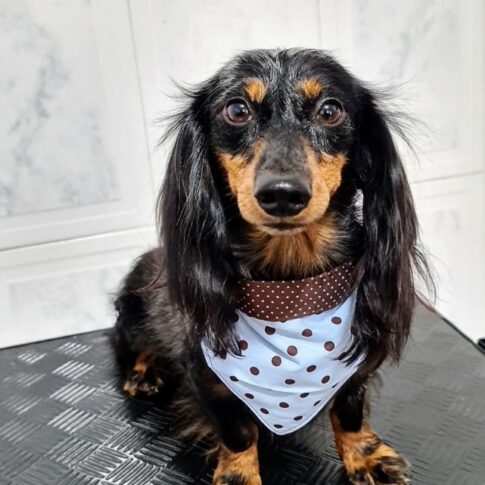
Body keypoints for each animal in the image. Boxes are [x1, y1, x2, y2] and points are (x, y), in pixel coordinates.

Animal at [114, 48, 430, 485]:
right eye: (236, 110)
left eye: (330, 111)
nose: (282, 194)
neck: (289, 285)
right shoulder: (205, 374)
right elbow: (237, 430)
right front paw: (238, 474)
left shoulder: (356, 361)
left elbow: (348, 409)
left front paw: (365, 456)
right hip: (133, 312)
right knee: (133, 343)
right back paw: (143, 372)